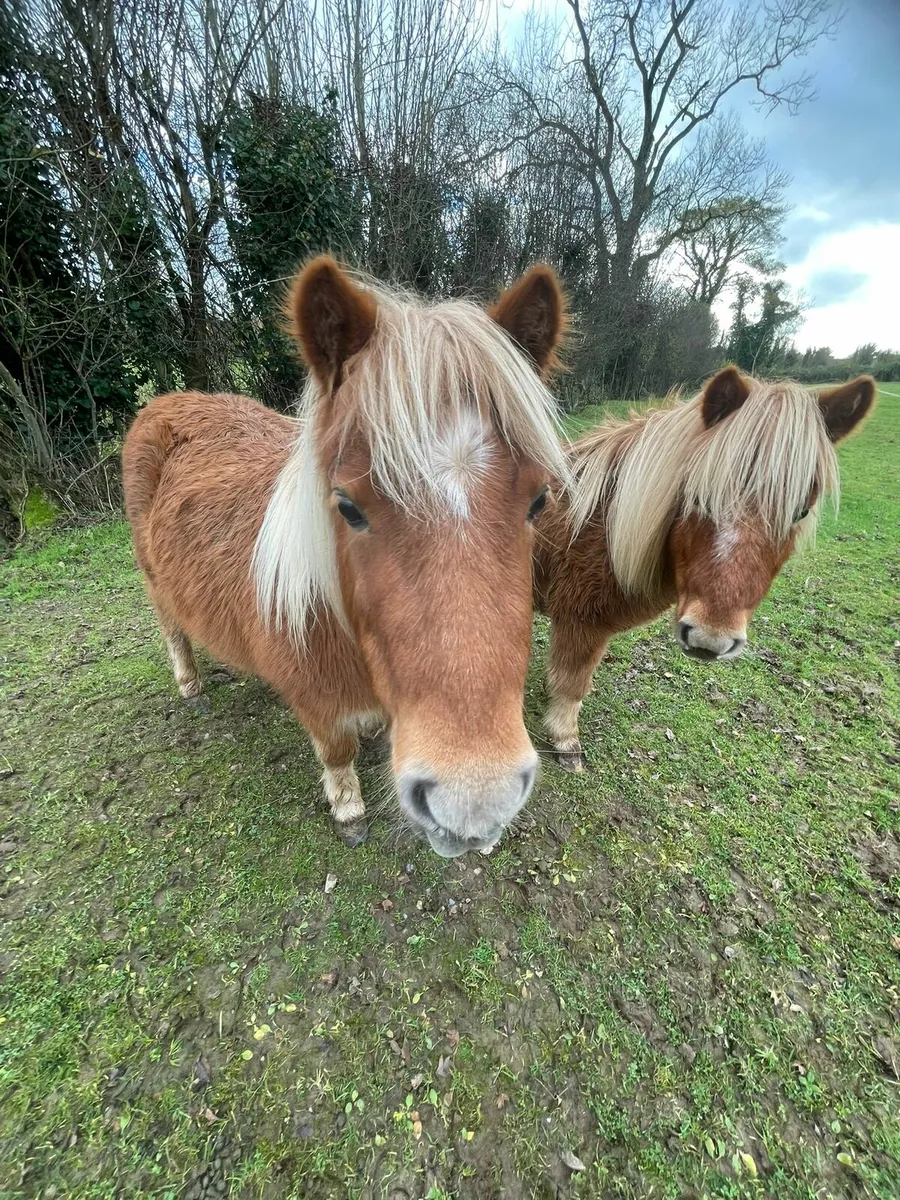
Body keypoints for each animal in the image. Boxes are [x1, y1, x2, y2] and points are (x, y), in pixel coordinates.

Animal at [123, 256, 570, 856]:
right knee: (173, 629)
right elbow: (337, 752)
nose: (475, 800)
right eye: (348, 507)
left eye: (539, 501)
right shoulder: (316, 703)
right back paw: (191, 685)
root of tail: (165, 401)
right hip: (153, 579)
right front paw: (348, 808)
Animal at [533, 367, 875, 770]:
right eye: (696, 497)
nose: (710, 640)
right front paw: (565, 740)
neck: (605, 521)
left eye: (800, 511)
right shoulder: (581, 621)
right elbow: (573, 684)